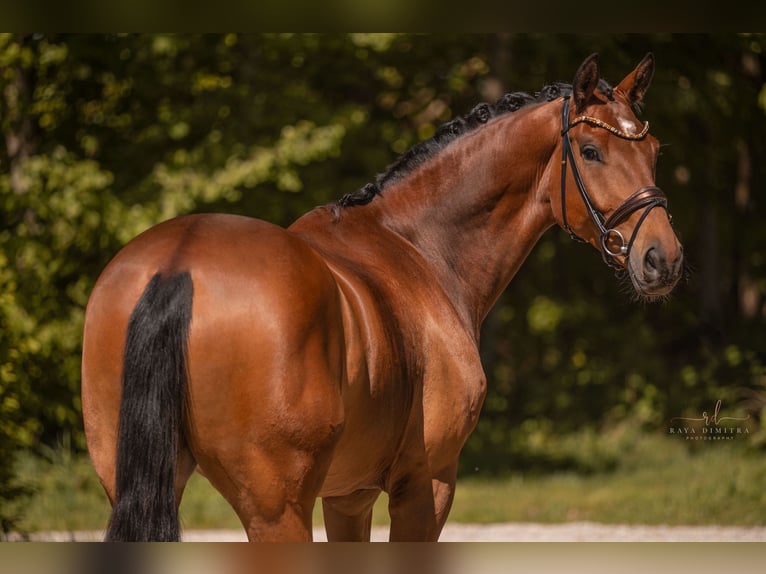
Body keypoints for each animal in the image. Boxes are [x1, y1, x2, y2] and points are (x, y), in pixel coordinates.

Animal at [81, 53, 683, 542]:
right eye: (591, 150)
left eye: (654, 149)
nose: (663, 259)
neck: (420, 247)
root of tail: (178, 264)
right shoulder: (426, 484)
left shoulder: (349, 495)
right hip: (277, 511)